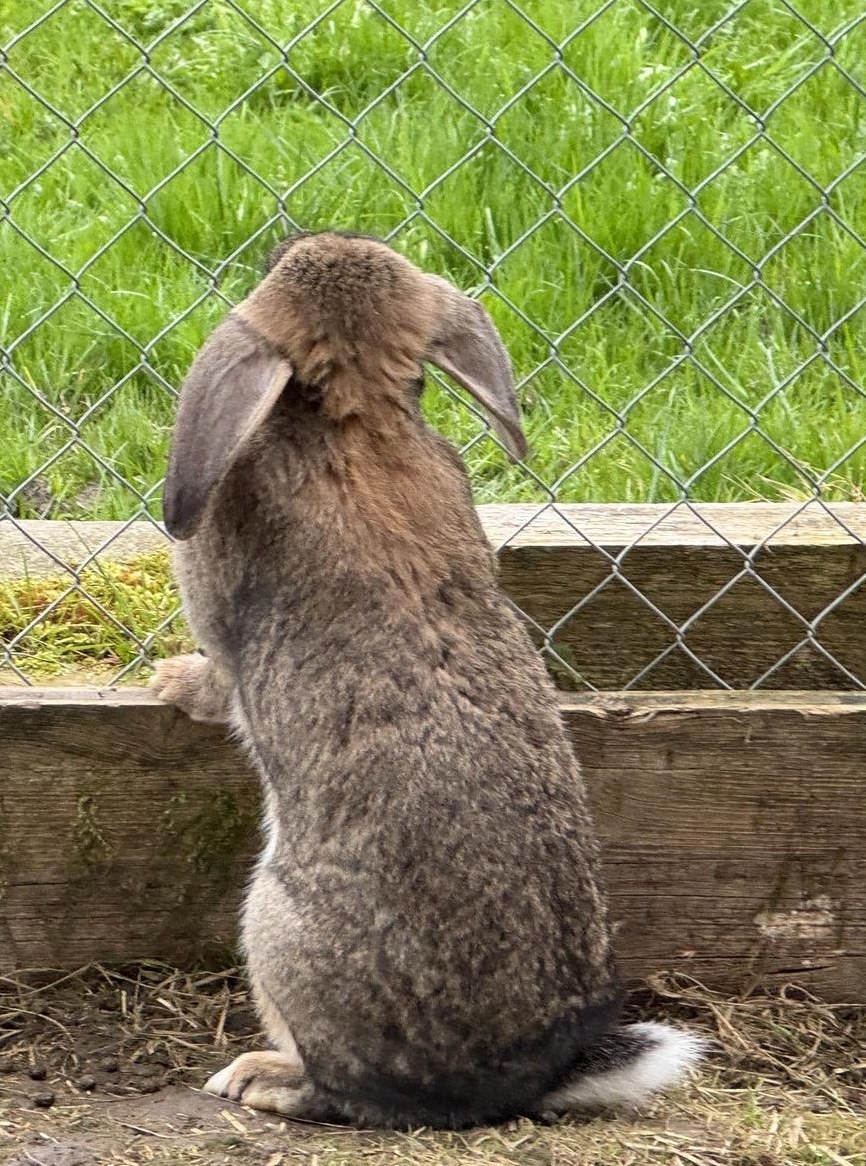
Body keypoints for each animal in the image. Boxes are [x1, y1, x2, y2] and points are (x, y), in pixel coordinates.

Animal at [150, 230, 703, 1129]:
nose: (294, 239)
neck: (359, 420)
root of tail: (513, 1078)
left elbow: (218, 674)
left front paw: (169, 679)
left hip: (274, 926)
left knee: (341, 1090)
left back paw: (258, 1080)